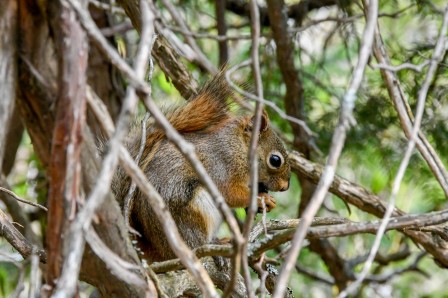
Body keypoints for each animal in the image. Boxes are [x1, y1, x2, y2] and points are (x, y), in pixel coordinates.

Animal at [113, 72, 290, 264]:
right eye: (275, 160)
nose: (285, 187)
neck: (238, 148)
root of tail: (163, 253)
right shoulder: (221, 166)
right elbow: (231, 194)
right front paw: (262, 199)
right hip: (193, 212)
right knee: (197, 244)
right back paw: (217, 245)